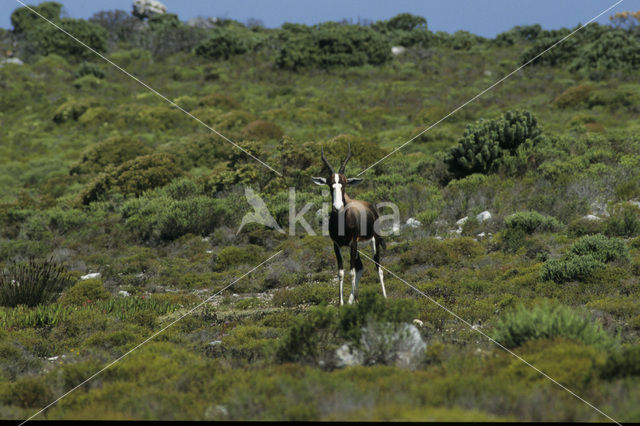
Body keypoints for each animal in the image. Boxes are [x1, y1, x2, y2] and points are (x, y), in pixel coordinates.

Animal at [312, 145, 384, 304]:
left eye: (344, 184)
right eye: (330, 184)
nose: (337, 207)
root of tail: (371, 208)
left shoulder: (353, 243)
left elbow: (351, 272)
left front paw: (355, 302)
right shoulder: (337, 245)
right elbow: (341, 273)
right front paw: (342, 304)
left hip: (373, 243)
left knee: (378, 268)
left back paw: (384, 298)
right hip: (357, 249)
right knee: (361, 268)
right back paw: (351, 300)